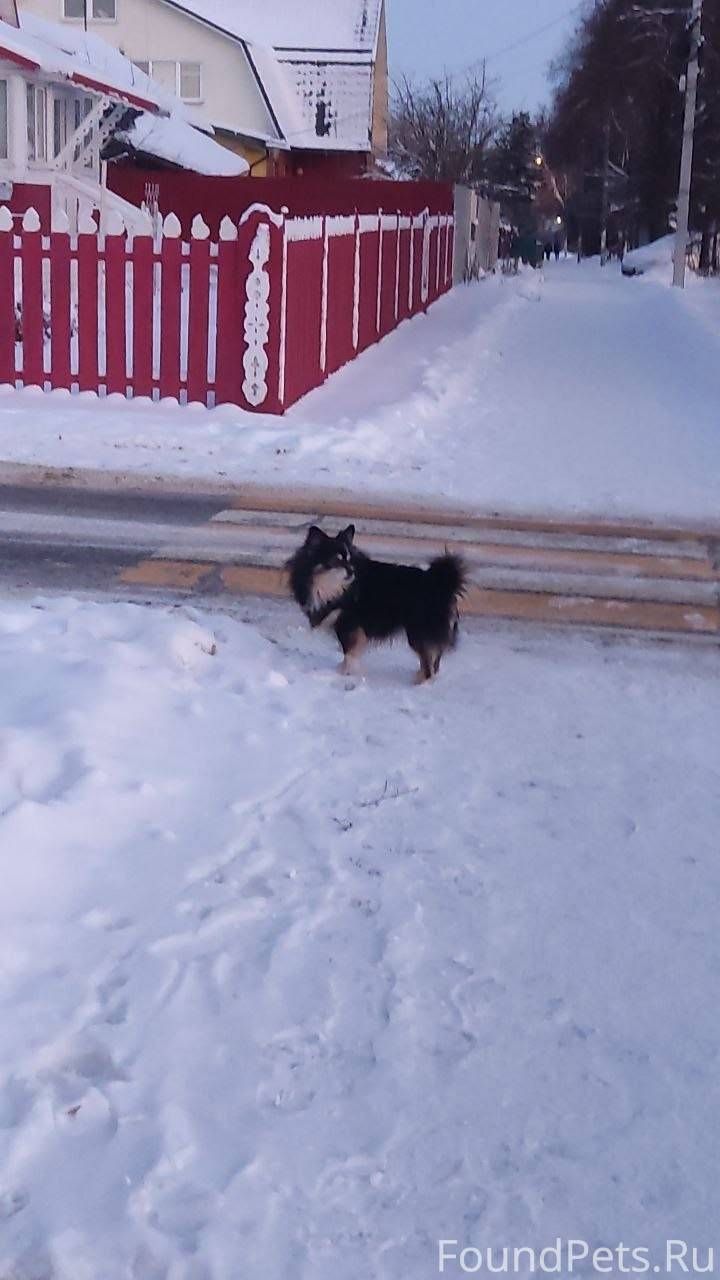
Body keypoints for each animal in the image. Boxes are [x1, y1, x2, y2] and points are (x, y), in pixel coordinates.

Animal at [287, 524, 467, 683]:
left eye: (349, 561)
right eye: (336, 560)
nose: (352, 571)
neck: (332, 588)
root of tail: (441, 582)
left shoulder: (349, 626)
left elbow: (349, 653)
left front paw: (345, 673)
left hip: (418, 632)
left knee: (429, 666)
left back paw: (418, 684)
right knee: (433, 662)